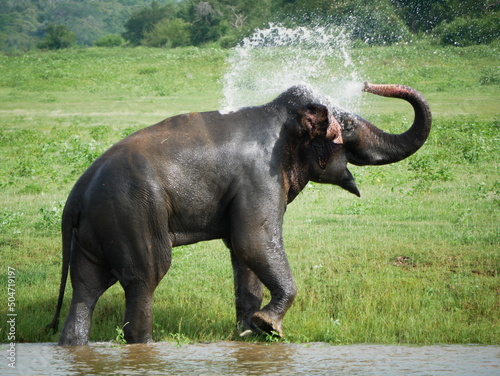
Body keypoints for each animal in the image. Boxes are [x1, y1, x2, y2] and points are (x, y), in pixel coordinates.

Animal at [46, 83, 430, 346]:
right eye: (347, 126)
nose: (367, 84)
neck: (278, 116)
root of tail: (75, 199)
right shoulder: (260, 177)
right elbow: (253, 241)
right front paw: (268, 326)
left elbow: (243, 253)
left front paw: (247, 335)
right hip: (132, 215)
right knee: (144, 278)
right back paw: (146, 344)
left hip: (97, 230)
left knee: (86, 288)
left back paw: (73, 344)